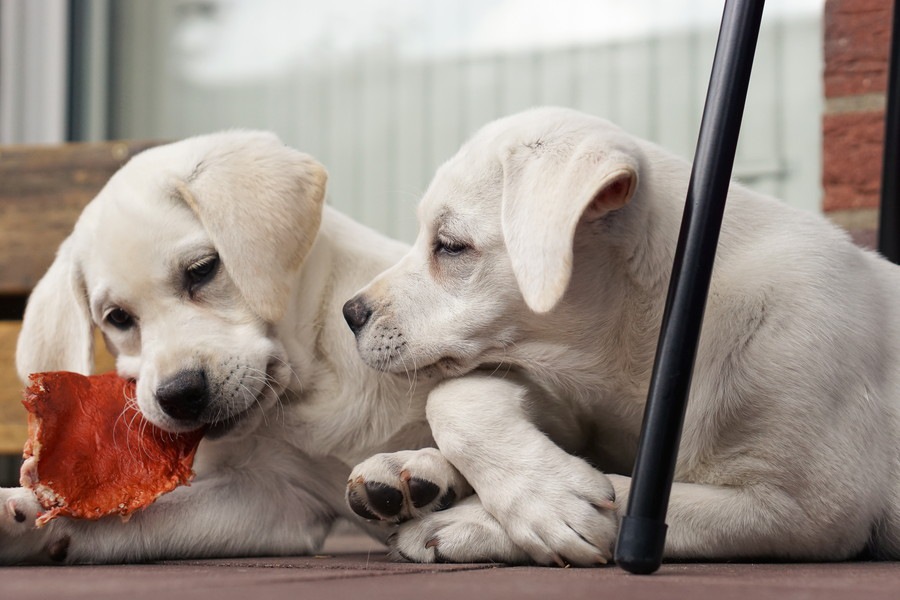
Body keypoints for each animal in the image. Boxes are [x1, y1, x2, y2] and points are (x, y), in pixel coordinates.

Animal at [0, 130, 442, 564]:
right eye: (118, 317)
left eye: (202, 269)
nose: (179, 395)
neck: (316, 382)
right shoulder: (274, 498)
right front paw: (22, 514)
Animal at [342, 106, 900, 568]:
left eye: (451, 246)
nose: (350, 313)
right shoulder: (574, 400)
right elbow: (454, 395)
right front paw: (429, 471)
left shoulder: (803, 508)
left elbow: (633, 496)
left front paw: (497, 515)